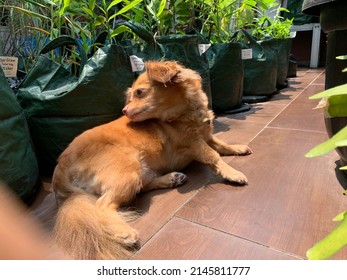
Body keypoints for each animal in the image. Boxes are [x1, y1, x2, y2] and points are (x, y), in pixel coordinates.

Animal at [51, 60, 253, 260]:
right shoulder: (194, 143)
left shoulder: (206, 137)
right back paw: (124, 233)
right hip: (128, 170)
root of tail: (61, 167)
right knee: (102, 206)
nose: (124, 110)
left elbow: (222, 144)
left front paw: (237, 148)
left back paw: (172, 179)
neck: (184, 114)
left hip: (140, 172)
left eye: (139, 92)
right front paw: (232, 173)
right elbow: (213, 156)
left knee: (142, 187)